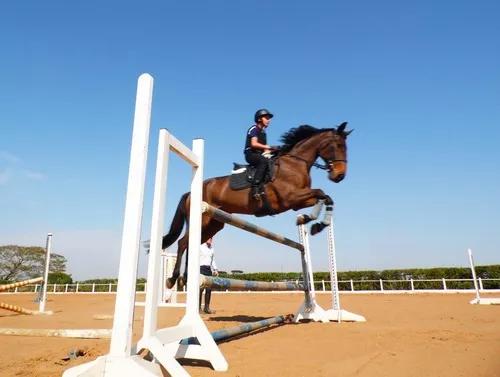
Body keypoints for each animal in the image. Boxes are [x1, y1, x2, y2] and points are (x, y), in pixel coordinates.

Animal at [163, 122, 352, 286]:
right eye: (338, 146)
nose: (339, 176)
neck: (295, 163)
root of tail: (190, 192)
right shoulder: (290, 198)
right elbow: (321, 192)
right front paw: (314, 223)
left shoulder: (298, 202)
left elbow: (324, 197)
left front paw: (311, 223)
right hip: (202, 220)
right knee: (183, 243)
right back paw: (173, 279)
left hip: (213, 224)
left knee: (191, 244)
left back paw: (186, 278)